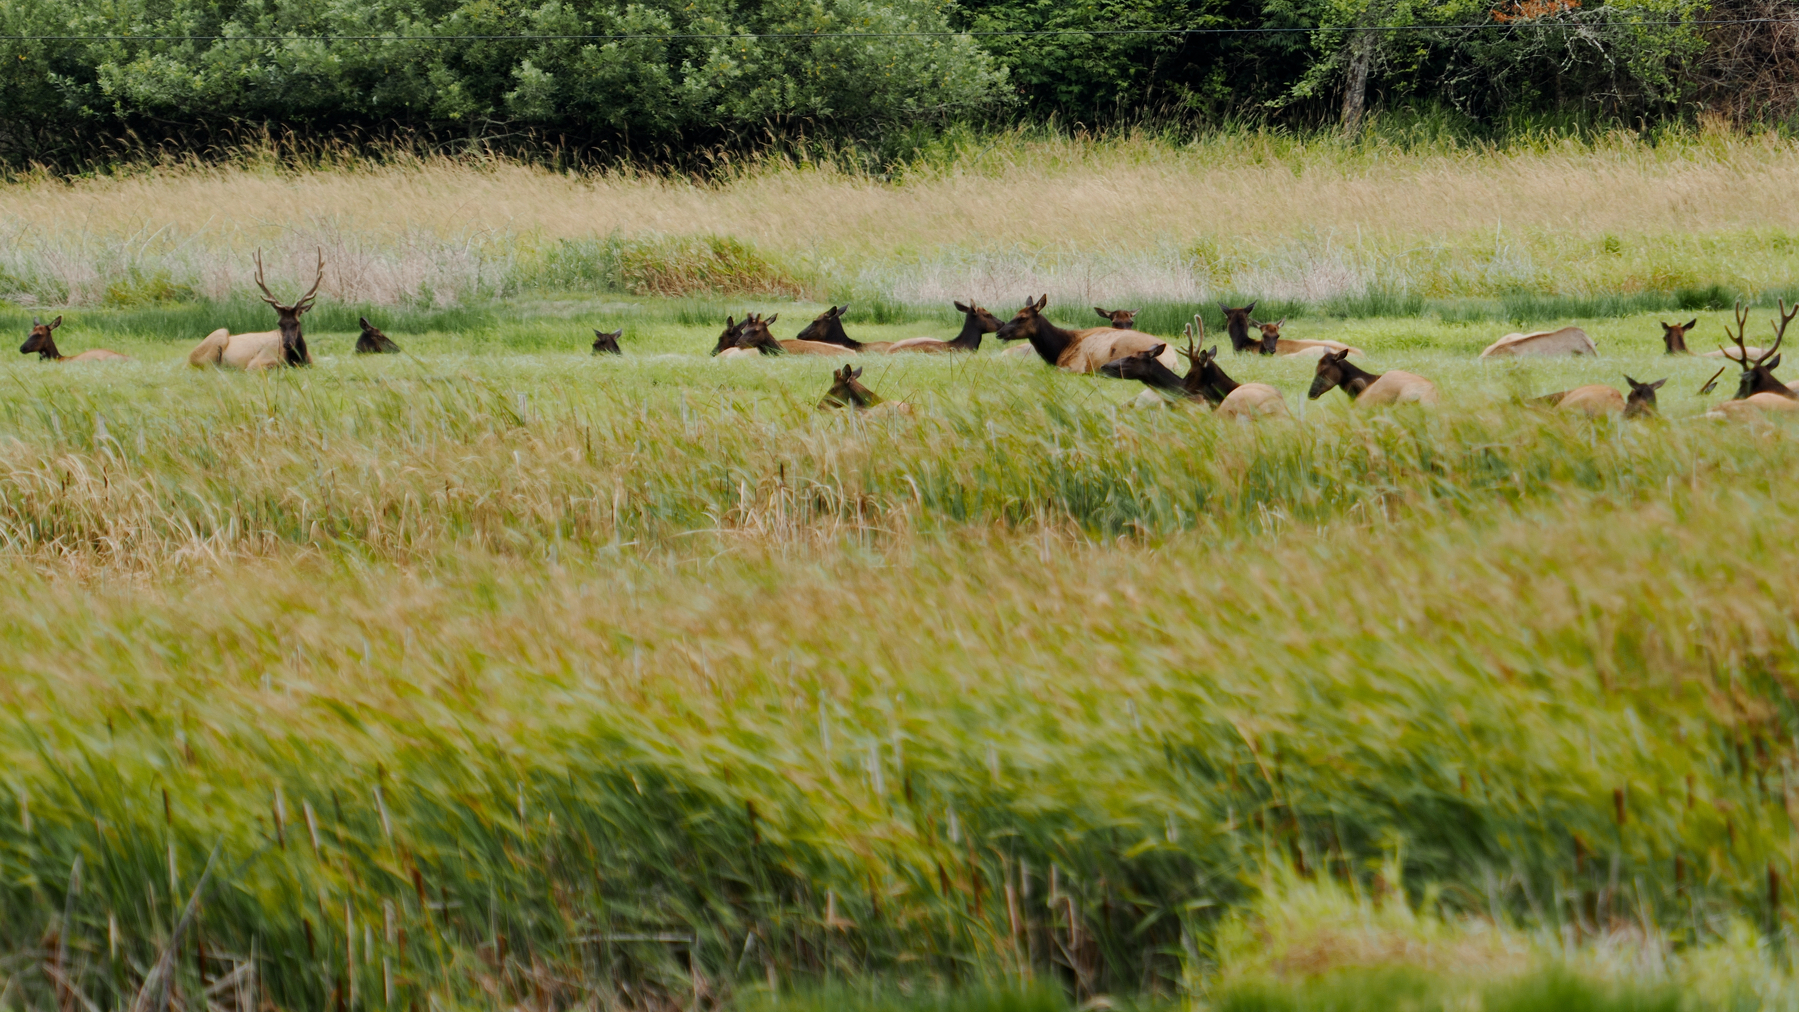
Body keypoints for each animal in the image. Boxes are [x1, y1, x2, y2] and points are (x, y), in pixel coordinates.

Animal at [189, 249, 322, 369]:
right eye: (279, 324)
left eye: (297, 323)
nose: (287, 343)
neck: (297, 360)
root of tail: (189, 358)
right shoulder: (257, 363)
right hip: (218, 337)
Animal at [995, 295, 1179, 373]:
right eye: (1015, 314)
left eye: (1022, 317)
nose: (999, 332)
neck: (1059, 348)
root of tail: (1174, 360)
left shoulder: (1074, 364)